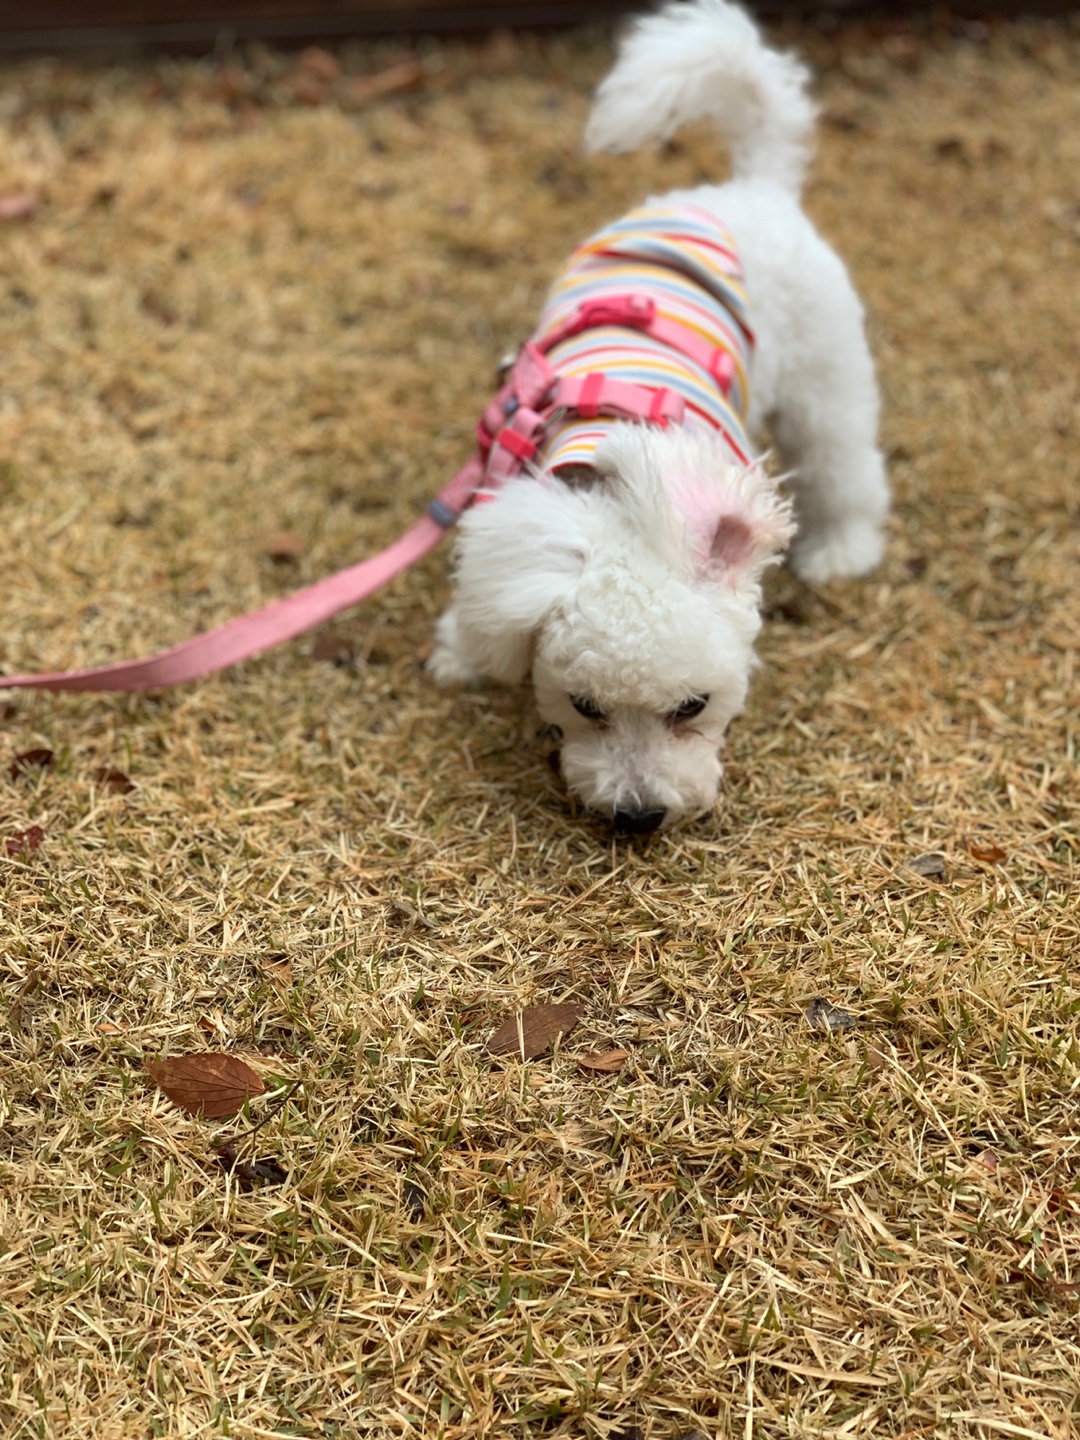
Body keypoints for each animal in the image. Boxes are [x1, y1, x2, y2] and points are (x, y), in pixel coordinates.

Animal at [429, 0, 887, 835]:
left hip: (824, 374)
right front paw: (466, 652)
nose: (638, 815)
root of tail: (750, 186)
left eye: (694, 707)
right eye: (583, 706)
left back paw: (844, 547)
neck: (625, 473)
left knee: (844, 462)